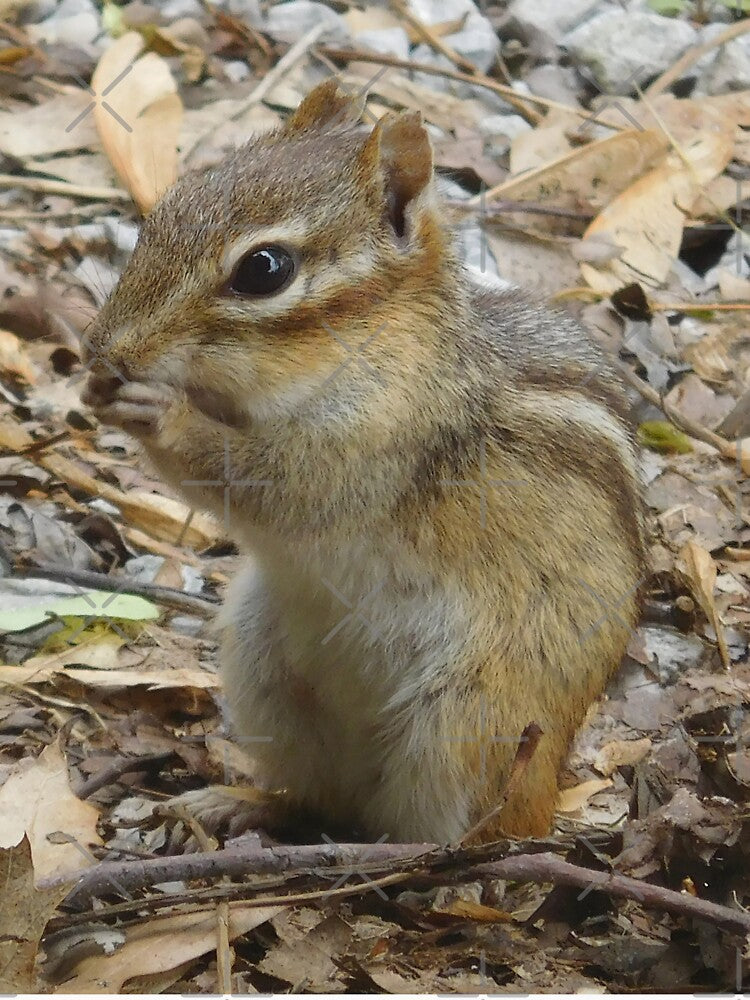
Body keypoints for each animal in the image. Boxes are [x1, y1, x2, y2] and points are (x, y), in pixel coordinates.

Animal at [81, 80, 647, 843]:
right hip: (262, 667)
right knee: (320, 800)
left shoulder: (374, 443)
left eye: (263, 269)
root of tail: (547, 802)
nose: (103, 349)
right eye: (172, 201)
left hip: (468, 717)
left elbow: (271, 481)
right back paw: (239, 803)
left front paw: (162, 413)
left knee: (440, 830)